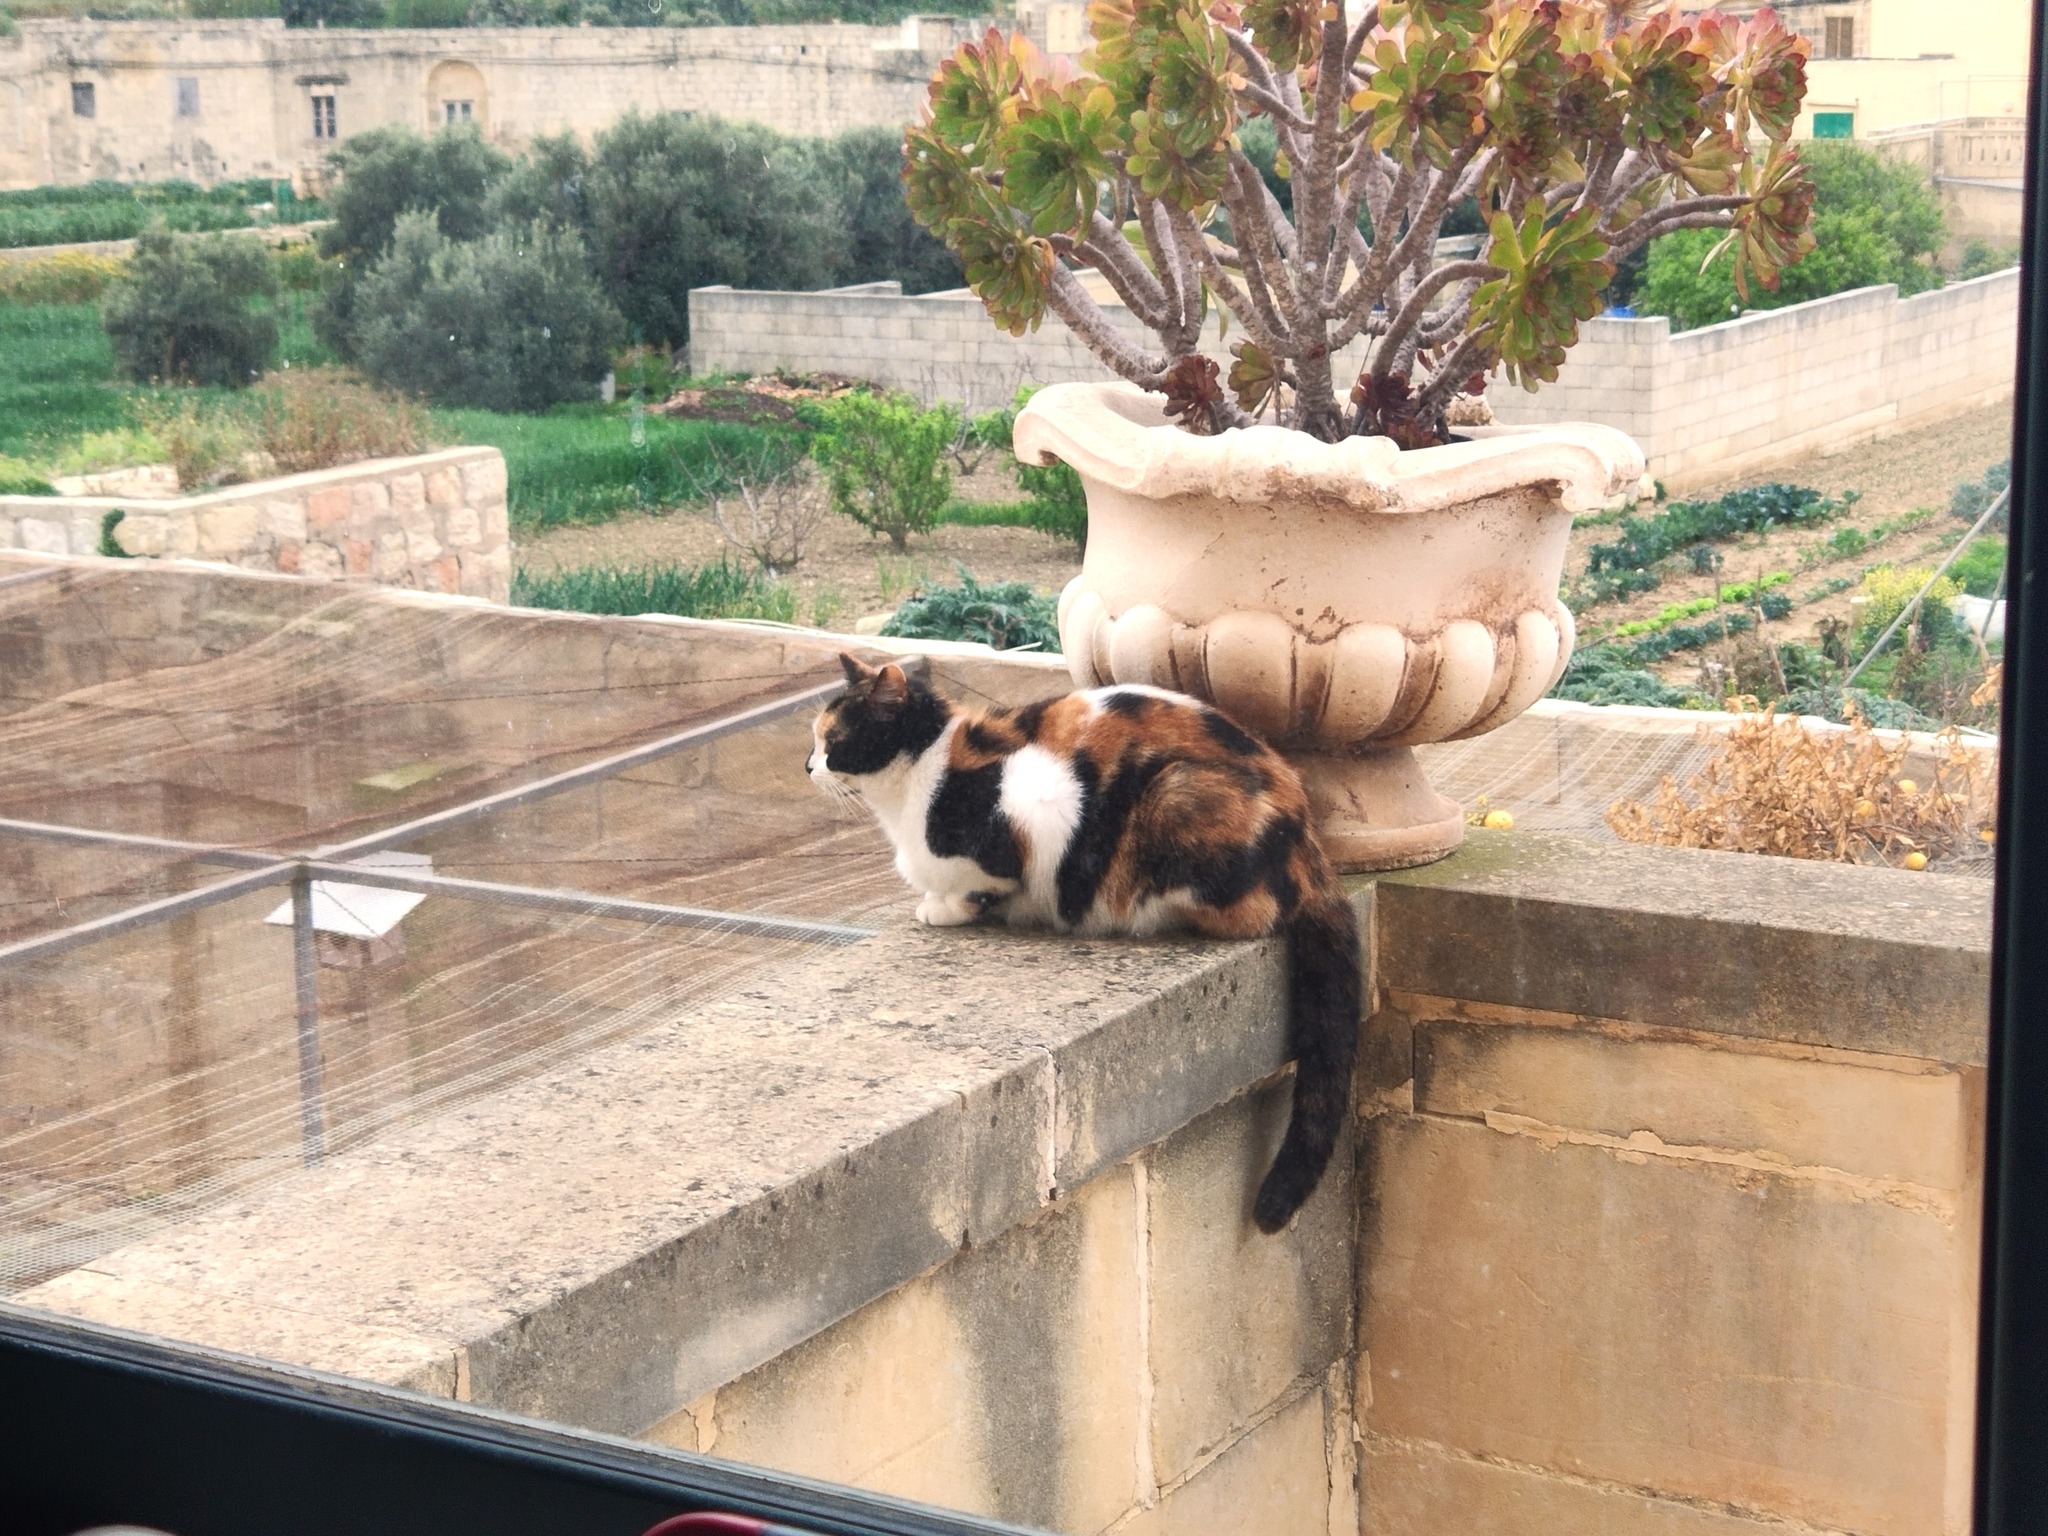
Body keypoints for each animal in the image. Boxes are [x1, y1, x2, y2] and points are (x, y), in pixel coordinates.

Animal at [808, 652, 1362, 1233]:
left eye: (833, 739)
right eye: (815, 740)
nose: (809, 766)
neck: (923, 774)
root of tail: (1307, 840)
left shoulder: (1032, 799)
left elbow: (980, 884)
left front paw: (946, 907)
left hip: (1177, 798)